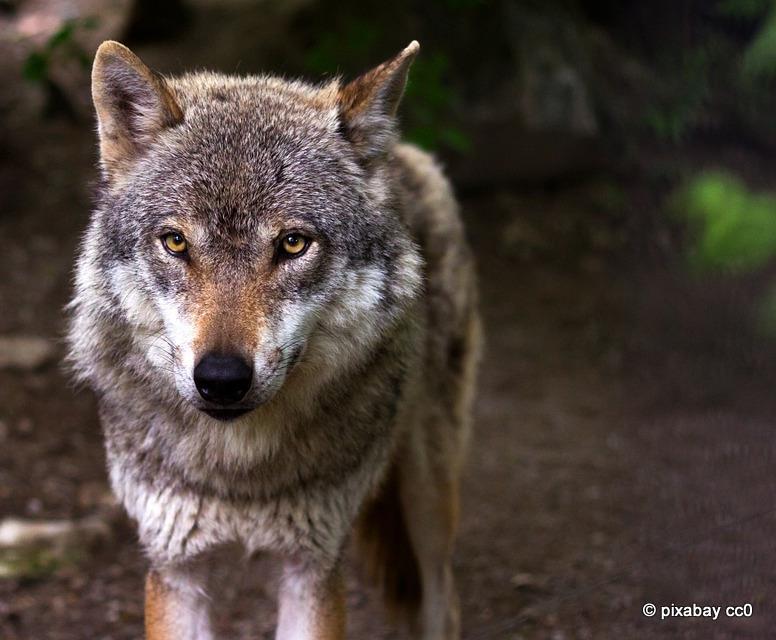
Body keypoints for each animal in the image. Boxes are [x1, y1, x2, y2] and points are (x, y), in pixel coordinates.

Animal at [68, 40, 478, 640]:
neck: (239, 473)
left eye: (292, 244)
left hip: (429, 497)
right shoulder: (175, 568)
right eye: (175, 242)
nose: (221, 379)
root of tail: (401, 153)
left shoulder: (312, 567)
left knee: (443, 598)